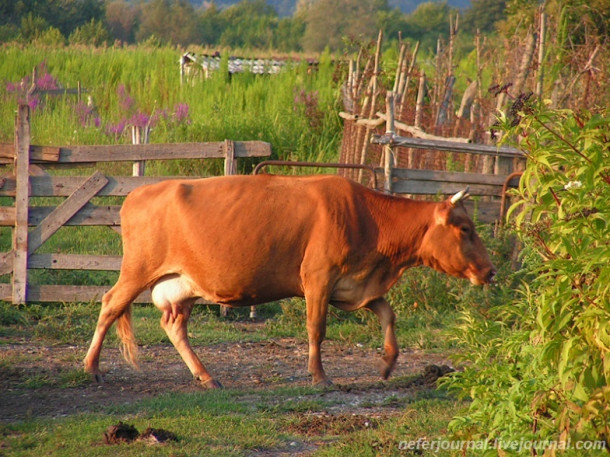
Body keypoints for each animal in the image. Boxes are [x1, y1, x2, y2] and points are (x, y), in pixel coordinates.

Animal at [84, 173, 494, 386]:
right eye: (465, 228)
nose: (490, 271)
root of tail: (139, 192)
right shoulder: (319, 278)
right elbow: (316, 329)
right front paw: (319, 376)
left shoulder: (355, 285)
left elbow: (387, 314)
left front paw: (388, 363)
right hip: (137, 270)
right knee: (110, 304)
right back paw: (91, 367)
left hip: (182, 286)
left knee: (173, 327)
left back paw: (206, 376)